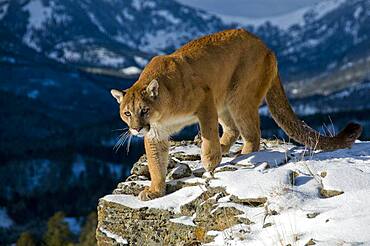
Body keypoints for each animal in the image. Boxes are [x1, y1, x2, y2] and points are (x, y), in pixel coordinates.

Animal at [111, 29, 362, 200]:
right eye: (127, 113)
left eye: (144, 110)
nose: (136, 128)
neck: (163, 113)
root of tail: (267, 47)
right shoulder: (156, 134)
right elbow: (155, 163)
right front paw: (155, 190)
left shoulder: (205, 99)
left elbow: (208, 132)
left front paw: (209, 161)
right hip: (224, 101)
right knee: (232, 129)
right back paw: (226, 148)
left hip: (238, 97)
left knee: (251, 132)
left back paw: (243, 153)